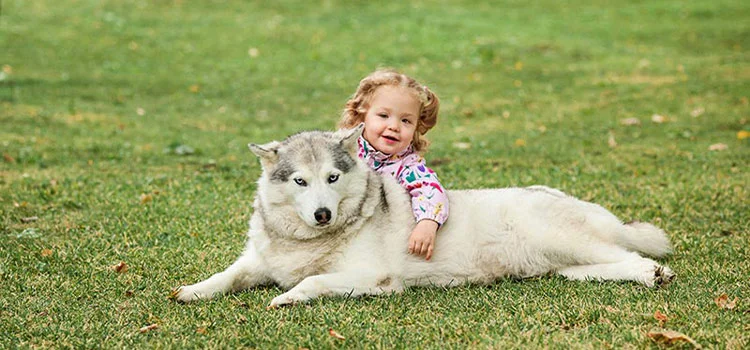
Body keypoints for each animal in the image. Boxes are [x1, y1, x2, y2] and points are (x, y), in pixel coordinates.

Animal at [175, 126, 676, 306]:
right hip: (565, 266)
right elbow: (227, 276)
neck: (307, 242)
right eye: (300, 181)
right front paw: (193, 291)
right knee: (602, 266)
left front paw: (287, 297)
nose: (321, 213)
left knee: (632, 256)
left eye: (332, 177)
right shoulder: (258, 262)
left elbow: (313, 281)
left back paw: (654, 274)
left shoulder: (374, 279)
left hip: (564, 239)